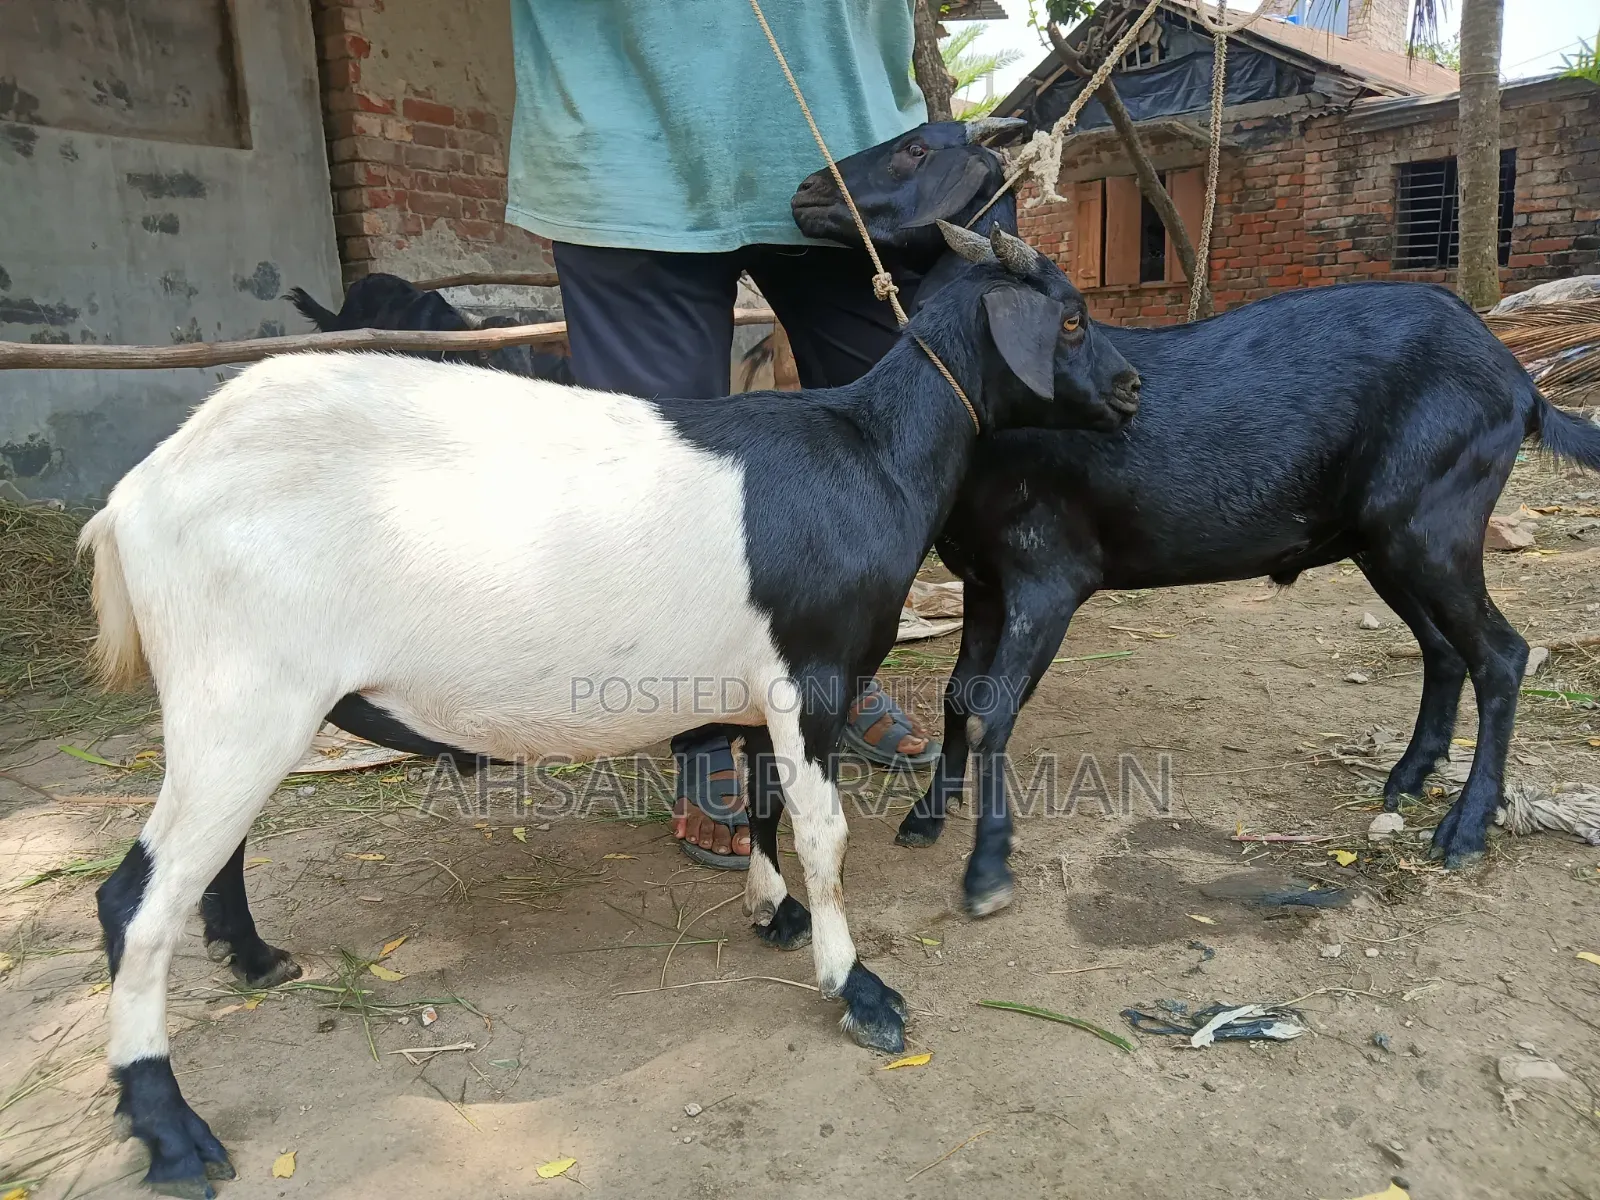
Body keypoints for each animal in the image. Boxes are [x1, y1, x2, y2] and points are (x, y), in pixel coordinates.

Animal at [795, 121, 1600, 919]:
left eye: (916, 150)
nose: (803, 191)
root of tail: (1522, 384)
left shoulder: (1049, 575)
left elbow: (993, 709)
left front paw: (987, 871)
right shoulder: (984, 577)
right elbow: (959, 697)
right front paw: (926, 817)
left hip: (1436, 524)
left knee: (1501, 654)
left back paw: (1466, 827)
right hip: (1384, 542)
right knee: (1443, 650)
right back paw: (1405, 778)